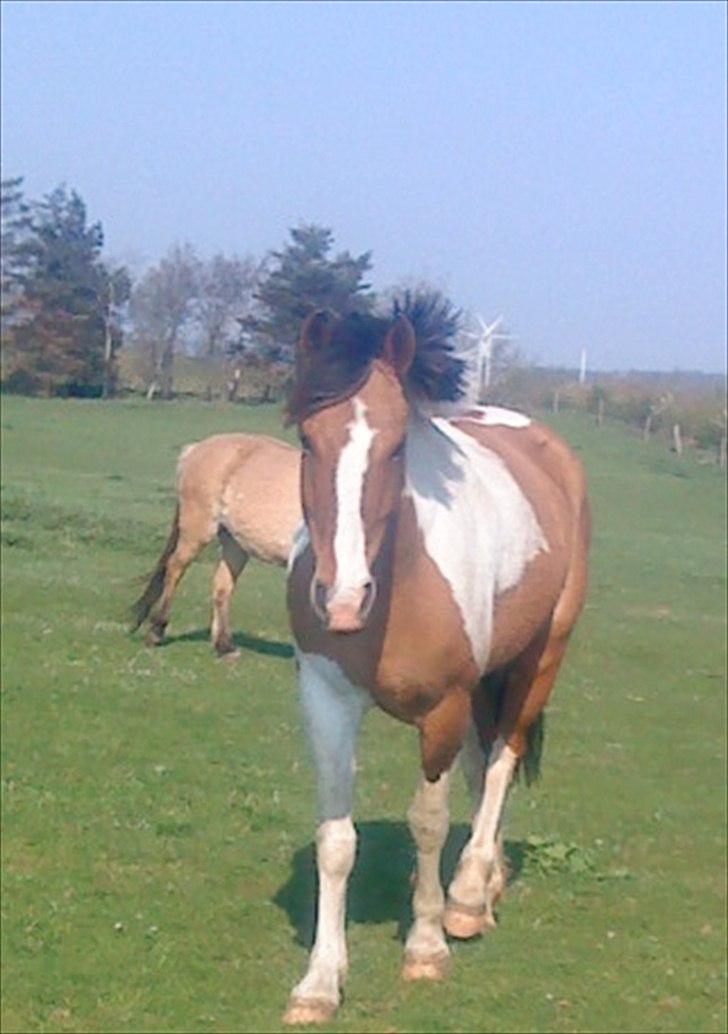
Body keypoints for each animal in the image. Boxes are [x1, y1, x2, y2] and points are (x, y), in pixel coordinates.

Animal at [130, 432, 301, 657]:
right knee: (175, 568)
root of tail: (194, 450)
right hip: (198, 530)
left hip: (234, 544)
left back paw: (224, 646)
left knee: (221, 587)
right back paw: (157, 631)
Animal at [285, 299, 591, 1025]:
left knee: (502, 760)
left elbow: (427, 821)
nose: (342, 599)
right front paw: (320, 981)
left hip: (540, 659)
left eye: (398, 445)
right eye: (308, 440)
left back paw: (469, 897)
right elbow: (335, 841)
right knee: (483, 770)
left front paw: (425, 946)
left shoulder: (442, 707)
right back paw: (488, 882)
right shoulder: (325, 698)